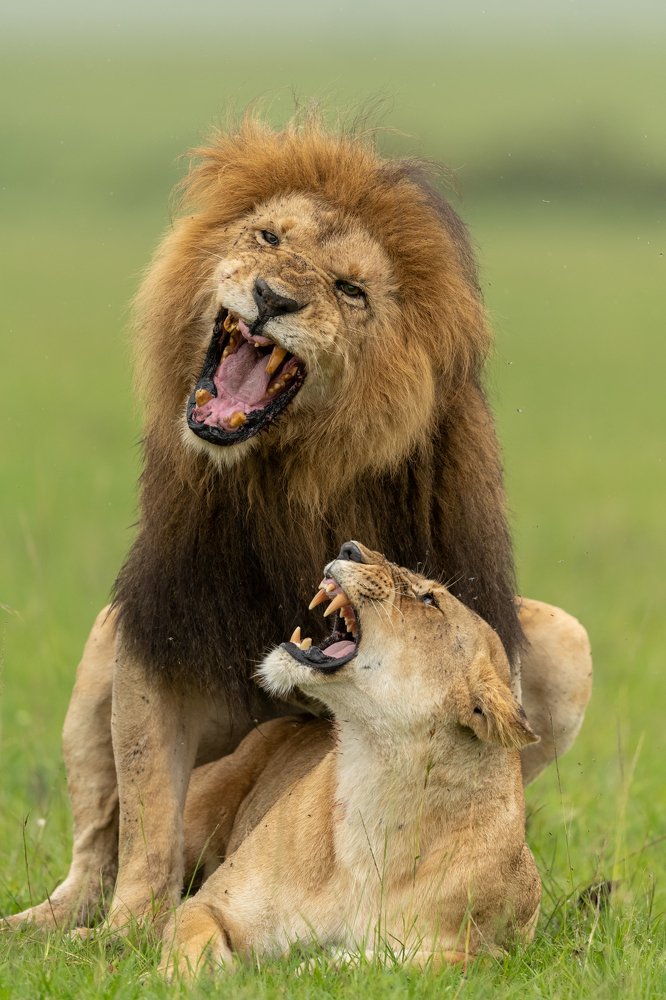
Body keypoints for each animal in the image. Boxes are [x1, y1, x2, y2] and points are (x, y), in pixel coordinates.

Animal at [3, 116, 591, 932]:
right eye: (269, 238)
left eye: (350, 289)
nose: (271, 297)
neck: (287, 471)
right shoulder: (162, 620)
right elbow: (147, 818)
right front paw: (127, 935)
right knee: (97, 850)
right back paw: (45, 927)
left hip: (568, 641)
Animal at [162, 541, 542, 977]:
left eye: (429, 599)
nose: (349, 548)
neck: (377, 775)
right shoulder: (214, 903)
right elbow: (192, 940)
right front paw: (187, 979)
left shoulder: (496, 954)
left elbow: (397, 962)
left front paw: (313, 965)